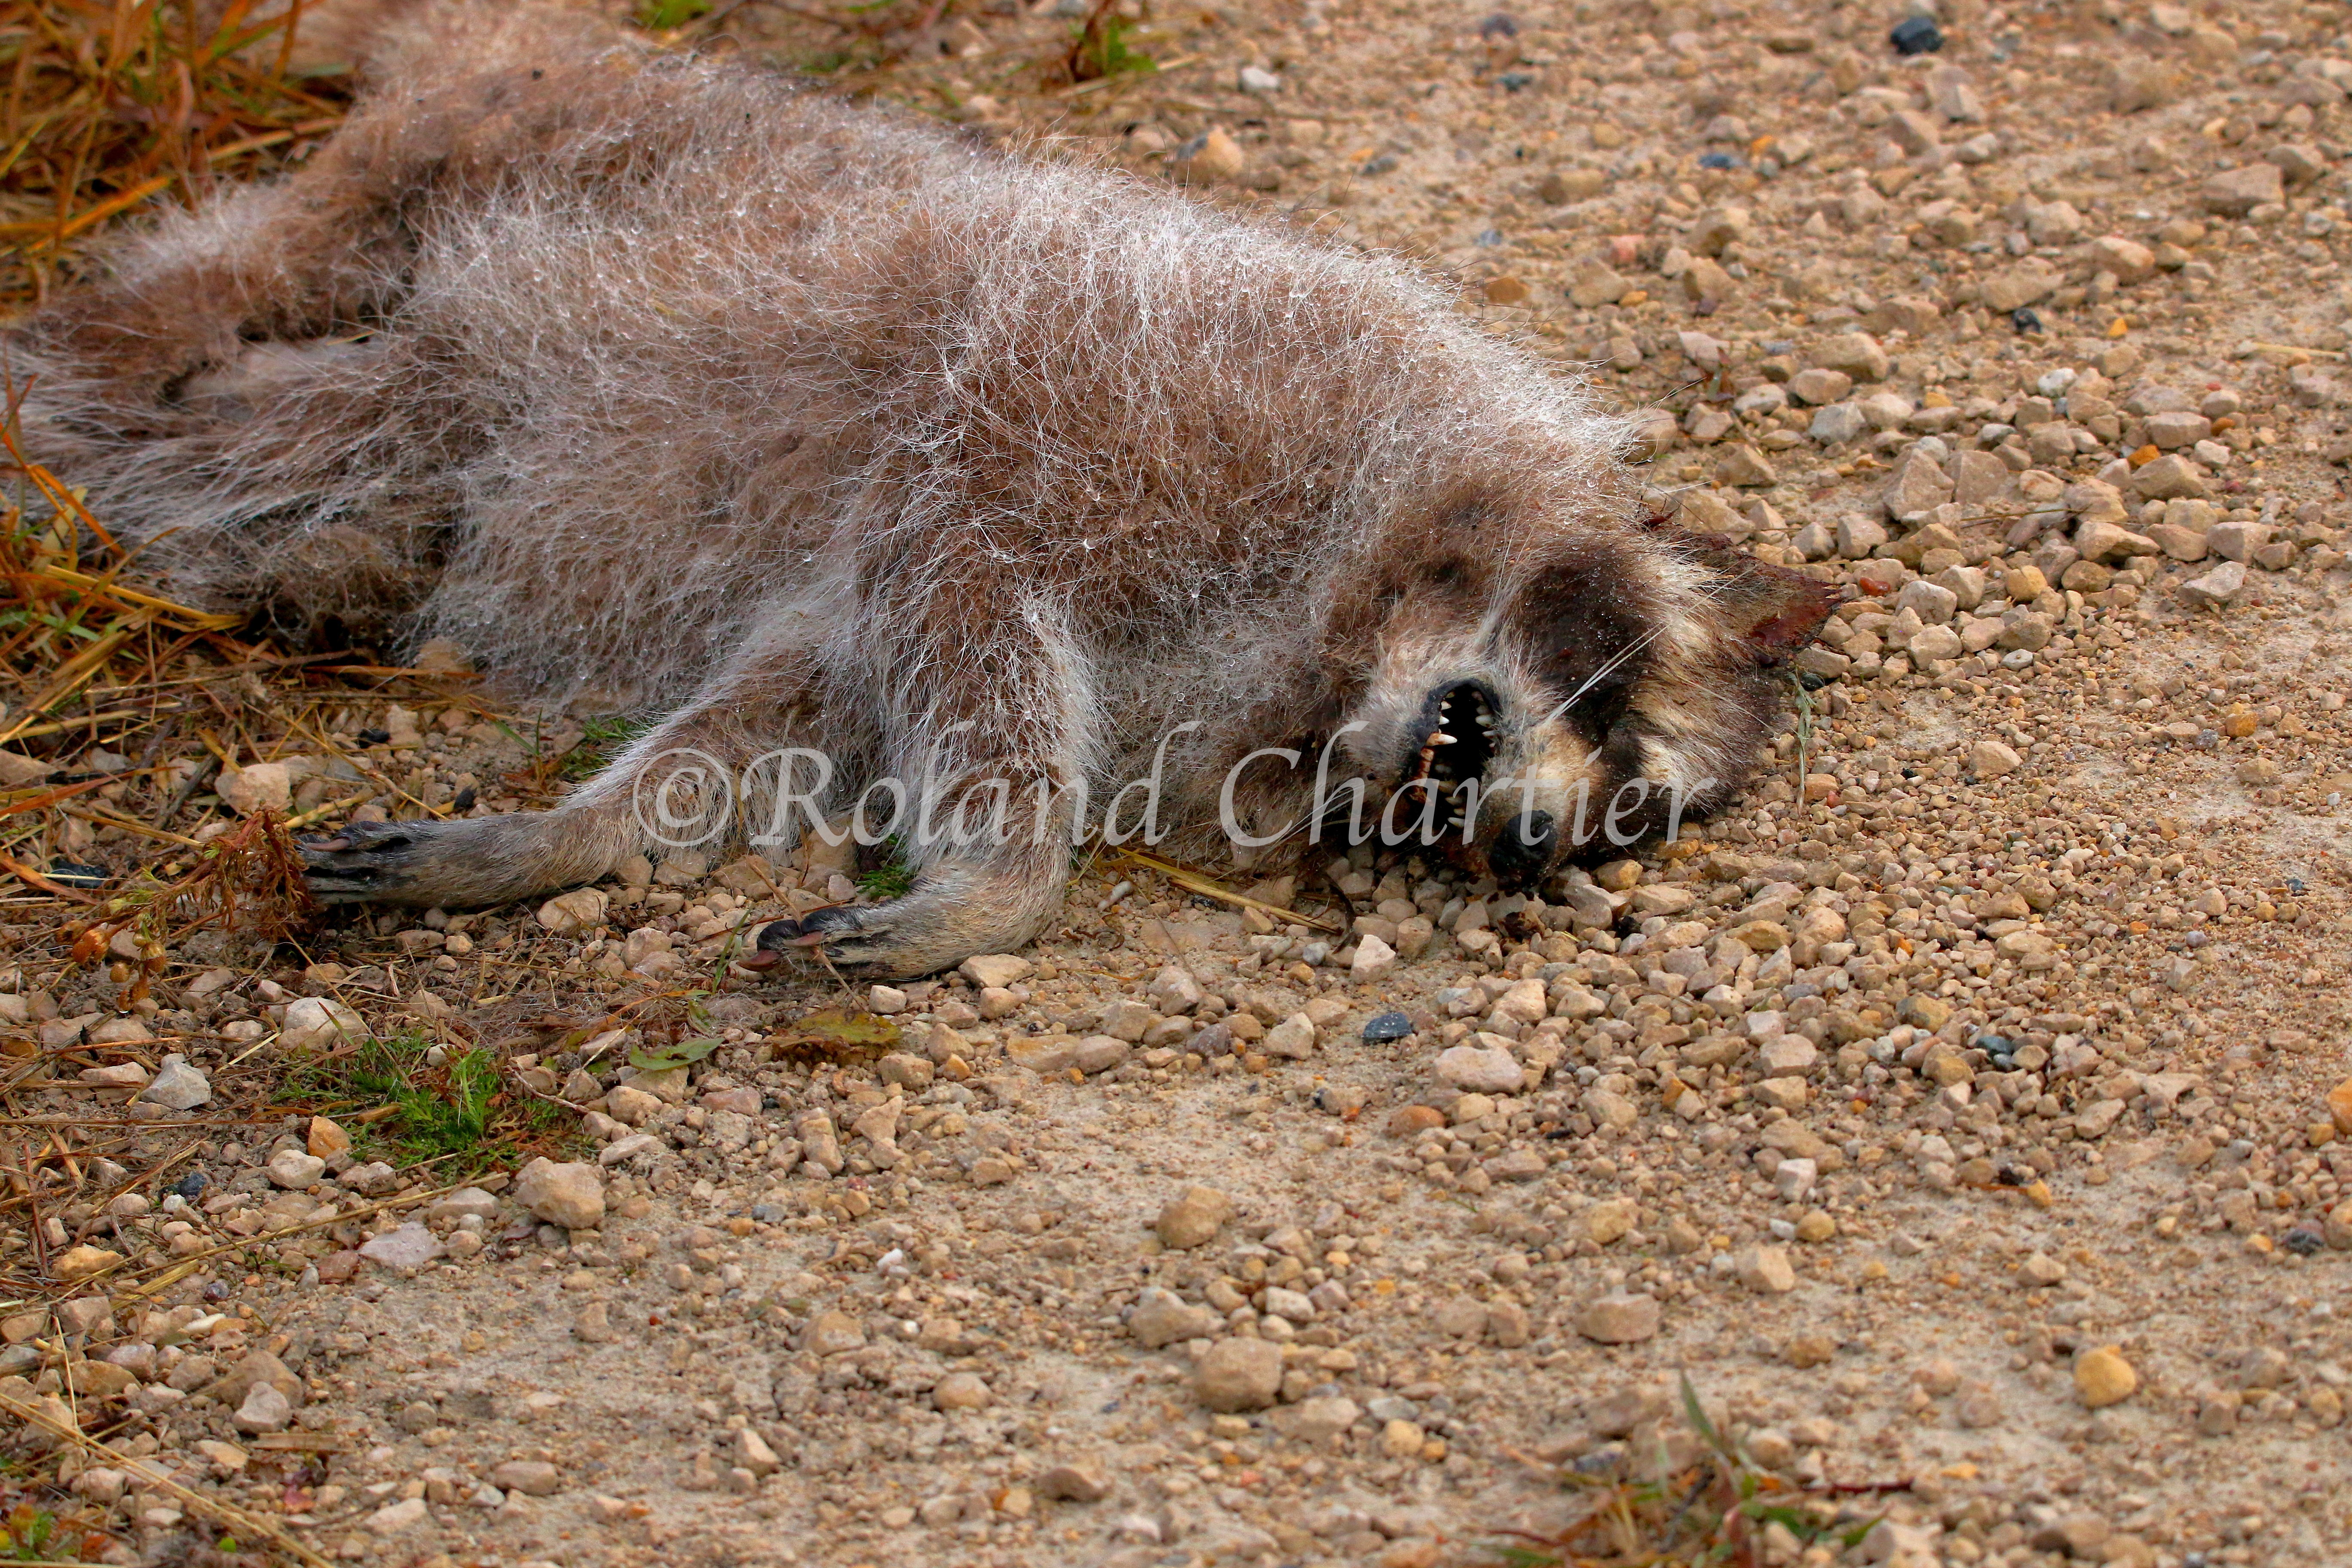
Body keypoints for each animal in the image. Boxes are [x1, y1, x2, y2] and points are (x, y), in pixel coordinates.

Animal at [4, 6, 1834, 973]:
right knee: (213, 387)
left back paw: (322, 566)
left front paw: (569, 831)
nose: (1511, 826)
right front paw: (999, 887)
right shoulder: (1107, 413)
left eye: (1615, 819)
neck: (1351, 606)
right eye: (1606, 688)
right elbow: (965, 613)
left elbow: (780, 698)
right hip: (463, 191)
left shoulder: (875, 577)